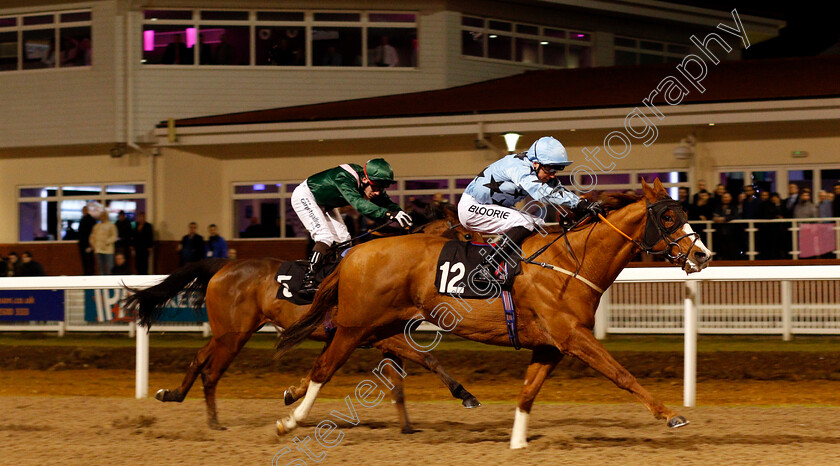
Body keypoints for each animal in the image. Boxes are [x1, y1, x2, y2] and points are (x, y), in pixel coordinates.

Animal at [122, 215, 482, 434]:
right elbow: (427, 359)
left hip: (226, 331)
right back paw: (213, 421)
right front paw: (464, 394)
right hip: (234, 335)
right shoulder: (373, 335)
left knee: (198, 357)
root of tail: (223, 264)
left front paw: (407, 426)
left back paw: (171, 394)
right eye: (467, 234)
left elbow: (398, 384)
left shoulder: (378, 337)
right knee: (211, 372)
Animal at [274, 179, 708, 448]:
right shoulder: (573, 336)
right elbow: (622, 374)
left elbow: (527, 393)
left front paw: (516, 442)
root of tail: (352, 253)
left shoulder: (550, 345)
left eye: (684, 213)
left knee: (331, 359)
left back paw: (292, 394)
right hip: (358, 324)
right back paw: (290, 420)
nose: (703, 254)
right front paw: (671, 415)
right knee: (324, 368)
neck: (570, 262)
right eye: (668, 217)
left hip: (378, 325)